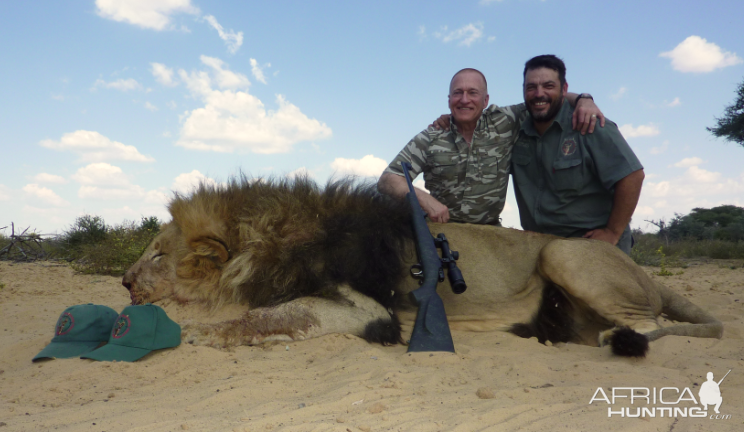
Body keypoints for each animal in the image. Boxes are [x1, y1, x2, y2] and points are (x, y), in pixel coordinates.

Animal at [122, 174, 720, 356]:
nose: (123, 281)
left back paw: (614, 339)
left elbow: (272, 315)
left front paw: (203, 334)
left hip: (563, 252)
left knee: (657, 324)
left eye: (158, 253)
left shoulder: (366, 310)